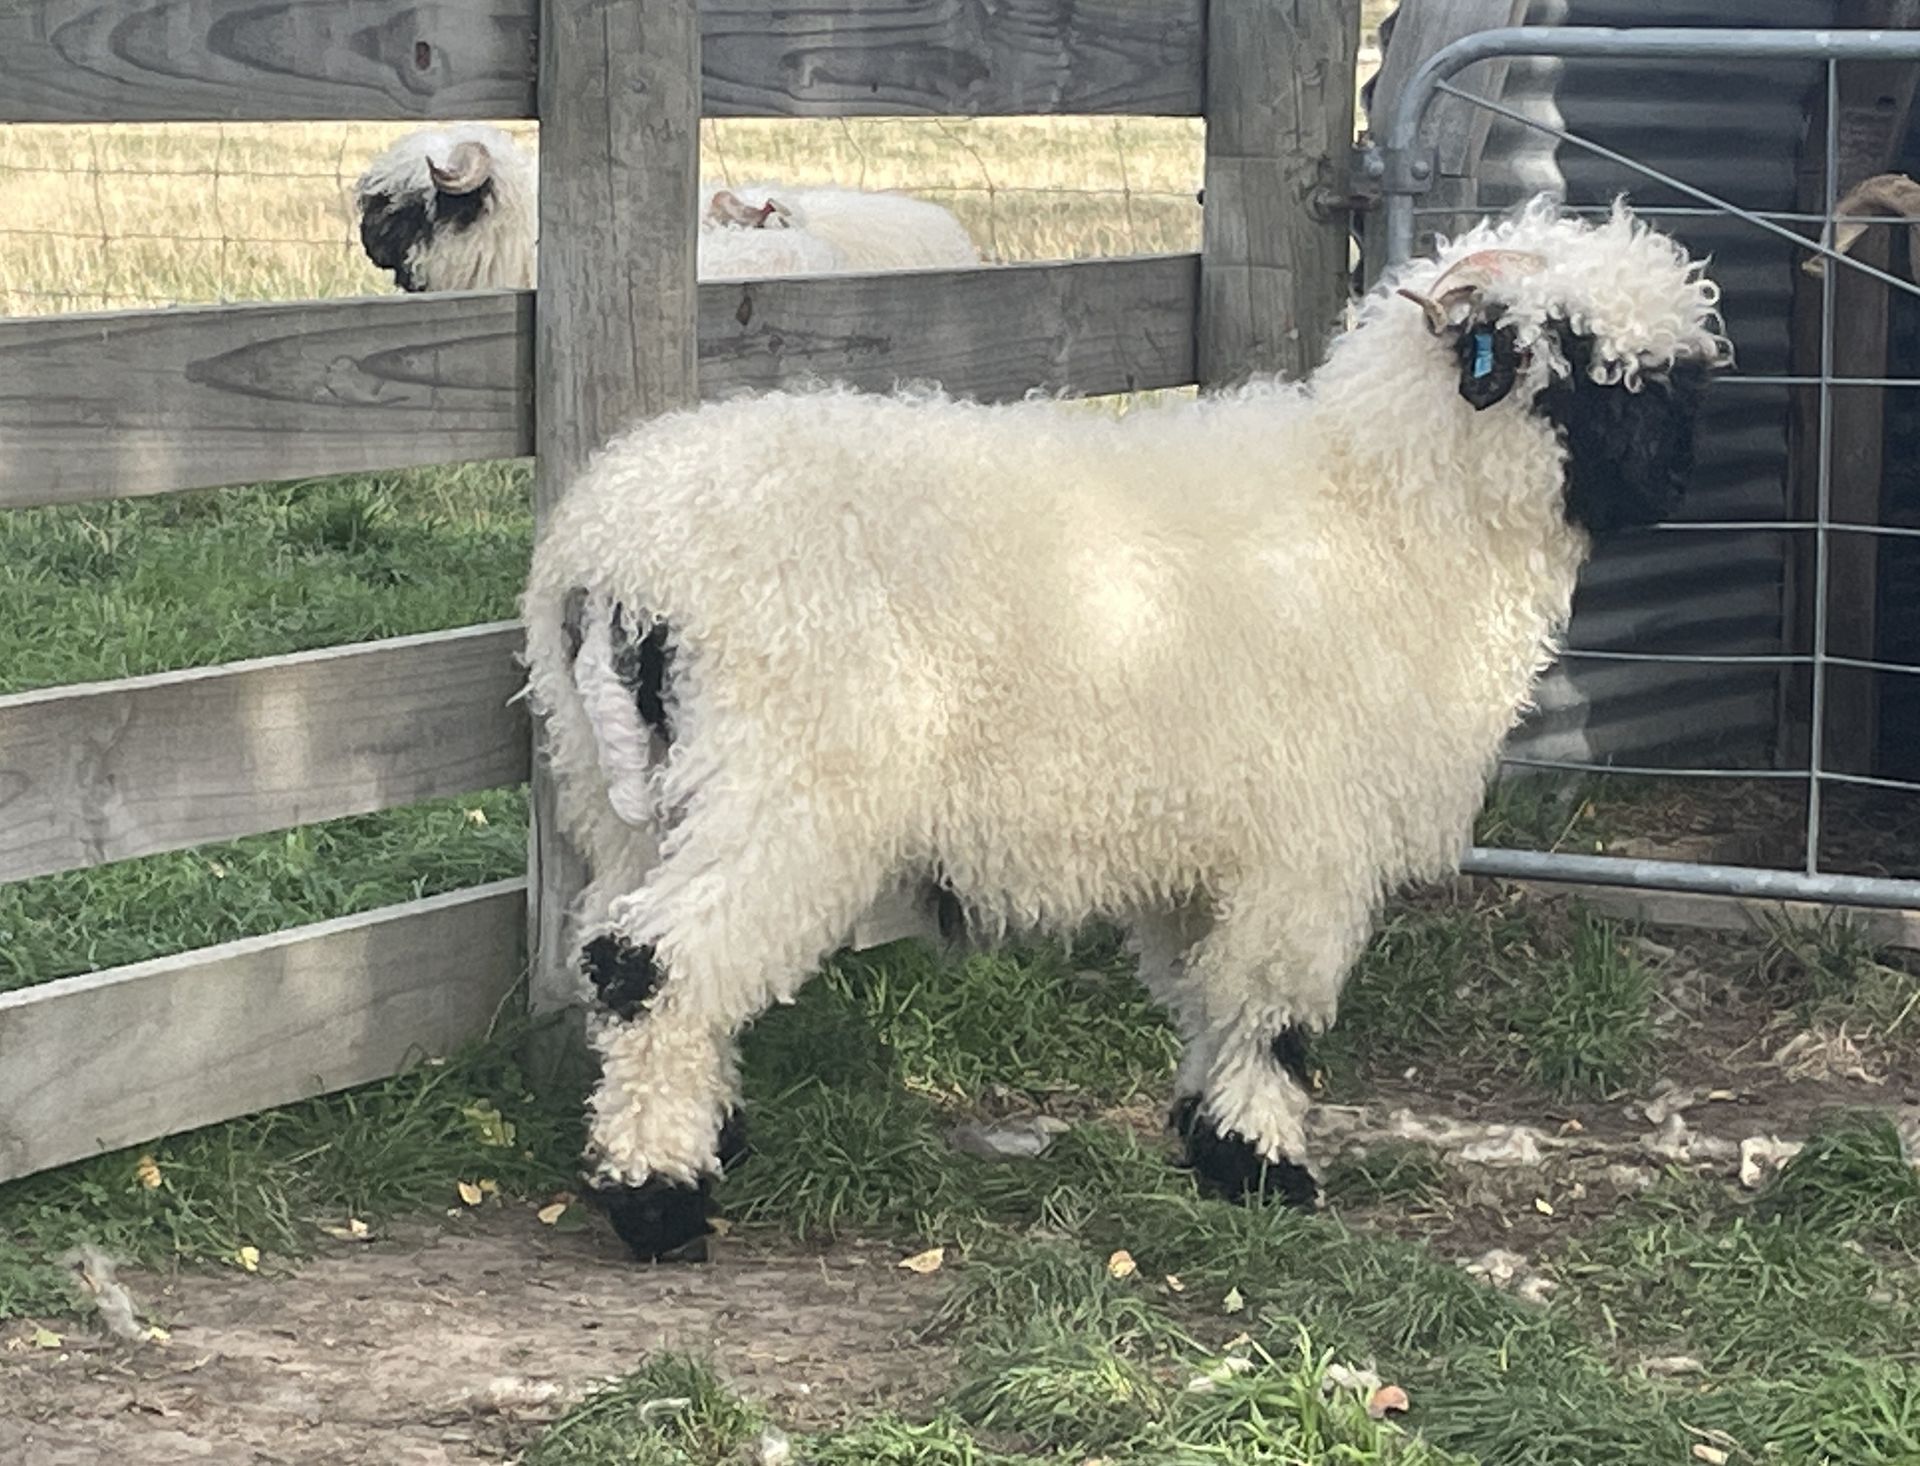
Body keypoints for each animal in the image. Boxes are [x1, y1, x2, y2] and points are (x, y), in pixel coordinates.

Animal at [510, 194, 1728, 1258]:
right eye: (1585, 365)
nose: (1683, 480)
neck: (1392, 512)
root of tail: (622, 552)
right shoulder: (1308, 840)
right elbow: (1271, 1011)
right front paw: (1267, 1167)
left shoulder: (1213, 847)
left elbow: (1208, 995)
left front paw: (1210, 1140)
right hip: (786, 784)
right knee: (649, 966)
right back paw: (658, 1199)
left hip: (626, 792)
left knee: (610, 949)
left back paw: (696, 1132)